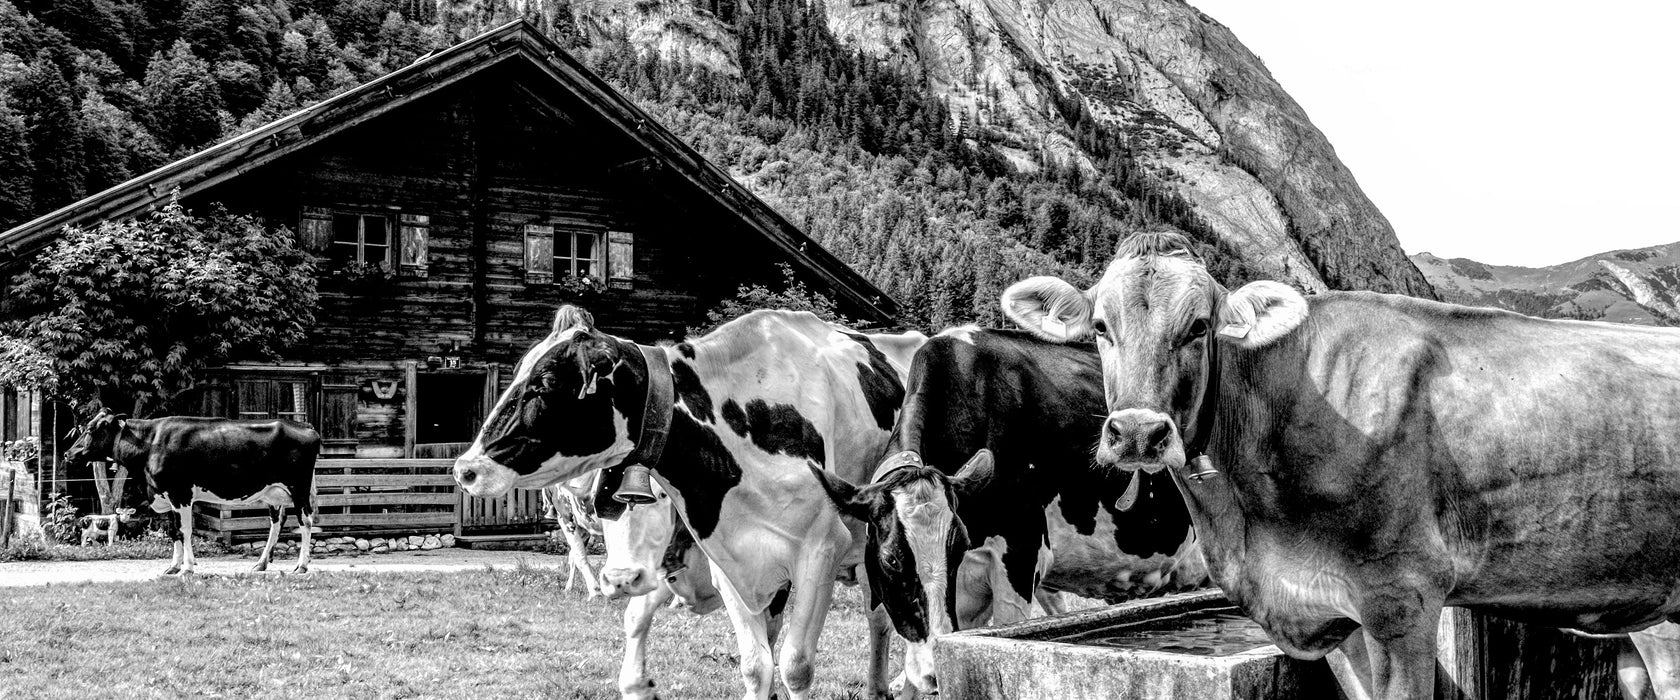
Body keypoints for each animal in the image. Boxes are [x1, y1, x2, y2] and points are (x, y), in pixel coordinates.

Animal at [62, 406, 320, 574]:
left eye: (92, 428)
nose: (67, 453)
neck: (150, 444)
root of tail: (304, 425)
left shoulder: (181, 493)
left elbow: (185, 530)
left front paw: (187, 568)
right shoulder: (166, 495)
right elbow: (174, 531)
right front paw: (173, 567)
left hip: (299, 487)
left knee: (305, 521)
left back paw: (302, 565)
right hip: (274, 493)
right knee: (277, 522)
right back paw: (261, 564)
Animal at [453, 305, 927, 698]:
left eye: (548, 382)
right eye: (607, 501)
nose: (465, 469)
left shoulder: (820, 550)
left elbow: (794, 667)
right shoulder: (727, 559)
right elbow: (755, 664)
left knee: (886, 618)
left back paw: (893, 685)